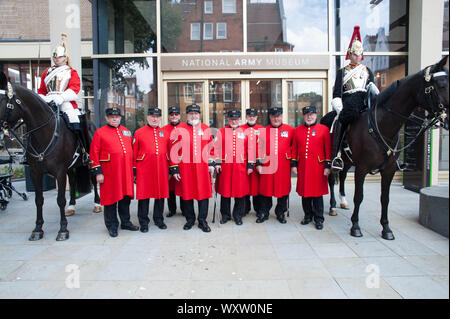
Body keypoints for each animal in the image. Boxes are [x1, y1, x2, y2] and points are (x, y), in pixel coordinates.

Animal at [0, 71, 93, 241]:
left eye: (2, 100)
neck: (44, 132)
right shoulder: (35, 172)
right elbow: (39, 200)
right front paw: (38, 228)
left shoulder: (59, 171)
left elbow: (60, 200)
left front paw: (63, 229)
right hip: (71, 166)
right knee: (73, 181)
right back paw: (72, 206)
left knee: (95, 182)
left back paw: (97, 205)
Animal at [322, 57, 448, 240]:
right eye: (441, 84)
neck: (382, 125)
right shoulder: (362, 168)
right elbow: (359, 196)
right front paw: (355, 226)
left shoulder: (389, 170)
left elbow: (385, 198)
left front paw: (386, 228)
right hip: (333, 158)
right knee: (332, 179)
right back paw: (332, 206)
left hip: (347, 160)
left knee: (343, 176)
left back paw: (343, 201)